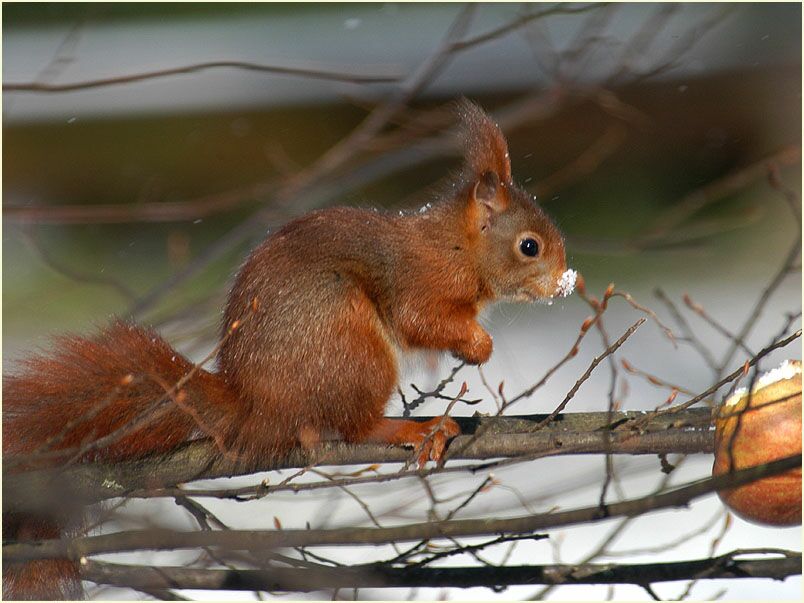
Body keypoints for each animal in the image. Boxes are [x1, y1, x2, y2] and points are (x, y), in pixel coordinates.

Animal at [2, 99, 574, 600]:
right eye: (529, 246)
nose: (566, 282)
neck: (457, 246)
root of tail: (258, 404)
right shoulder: (422, 281)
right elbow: (421, 319)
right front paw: (478, 344)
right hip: (351, 344)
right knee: (354, 426)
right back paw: (414, 428)